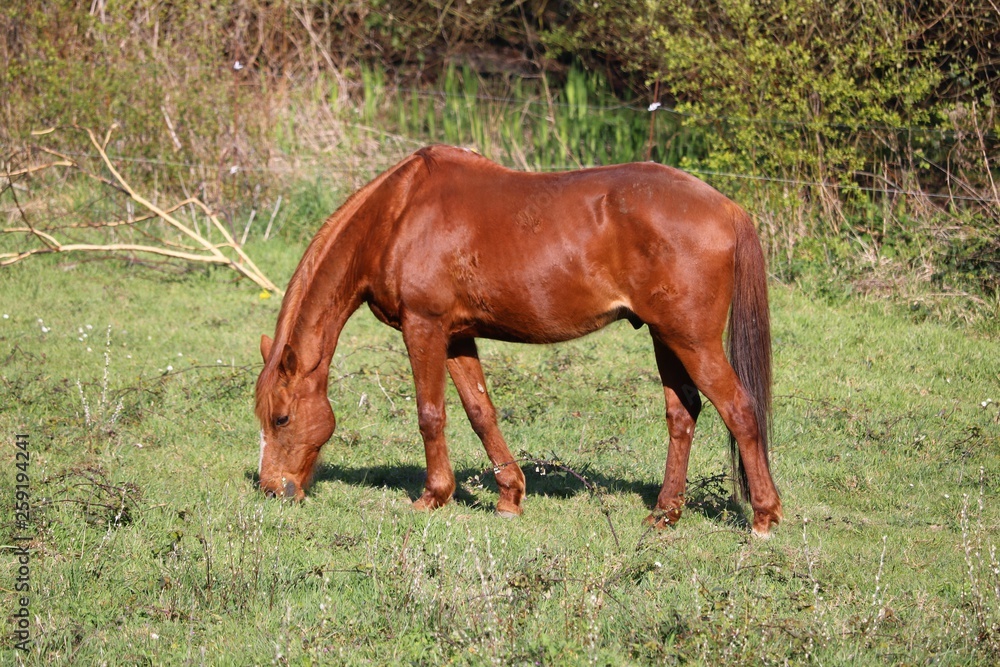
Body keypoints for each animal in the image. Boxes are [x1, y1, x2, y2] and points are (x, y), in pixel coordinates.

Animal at [254, 145, 782, 538]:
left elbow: (430, 415)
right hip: (665, 337)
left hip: (691, 340)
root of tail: (728, 207)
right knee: (683, 414)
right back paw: (665, 513)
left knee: (739, 409)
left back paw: (763, 516)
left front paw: (432, 496)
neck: (398, 215)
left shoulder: (423, 327)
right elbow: (480, 412)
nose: (272, 489)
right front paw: (509, 496)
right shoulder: (457, 337)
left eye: (282, 418)